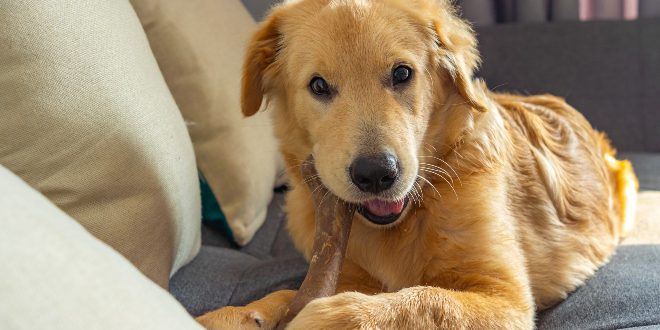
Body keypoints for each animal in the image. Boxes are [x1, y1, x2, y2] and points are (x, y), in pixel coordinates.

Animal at [199, 0, 636, 328]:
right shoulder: (344, 268)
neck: (410, 214)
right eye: (318, 86)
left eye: (402, 73)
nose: (377, 174)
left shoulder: (506, 297)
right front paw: (234, 314)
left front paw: (330, 317)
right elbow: (286, 294)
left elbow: (426, 301)